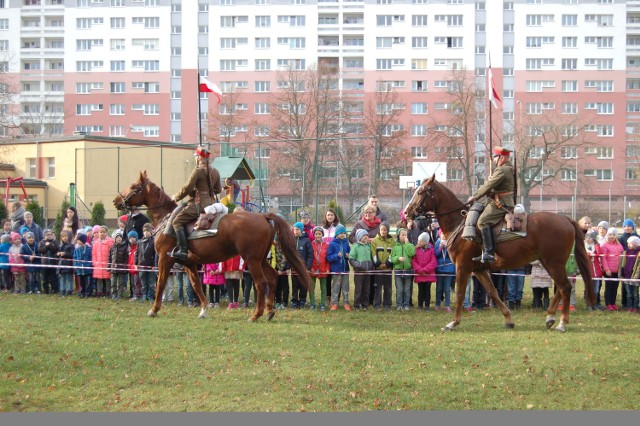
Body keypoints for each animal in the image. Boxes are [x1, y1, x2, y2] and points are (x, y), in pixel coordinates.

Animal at [114, 171, 310, 322]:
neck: (166, 218)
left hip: (252, 260)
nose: (116, 200)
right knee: (272, 278)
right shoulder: (189, 263)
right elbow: (196, 285)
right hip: (261, 260)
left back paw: (256, 315)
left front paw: (154, 309)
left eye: (133, 186)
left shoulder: (165, 258)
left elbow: (161, 283)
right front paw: (204, 309)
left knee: (261, 283)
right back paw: (269, 311)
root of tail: (263, 216)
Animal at [404, 175, 596, 332]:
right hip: (549, 263)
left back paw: (562, 323)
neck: (460, 224)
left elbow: (459, 294)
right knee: (561, 288)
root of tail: (566, 219)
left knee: (565, 288)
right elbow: (493, 292)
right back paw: (550, 317)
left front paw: (453, 322)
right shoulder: (479, 269)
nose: (406, 212)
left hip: (553, 263)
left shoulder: (463, 267)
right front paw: (508, 319)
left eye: (421, 192)